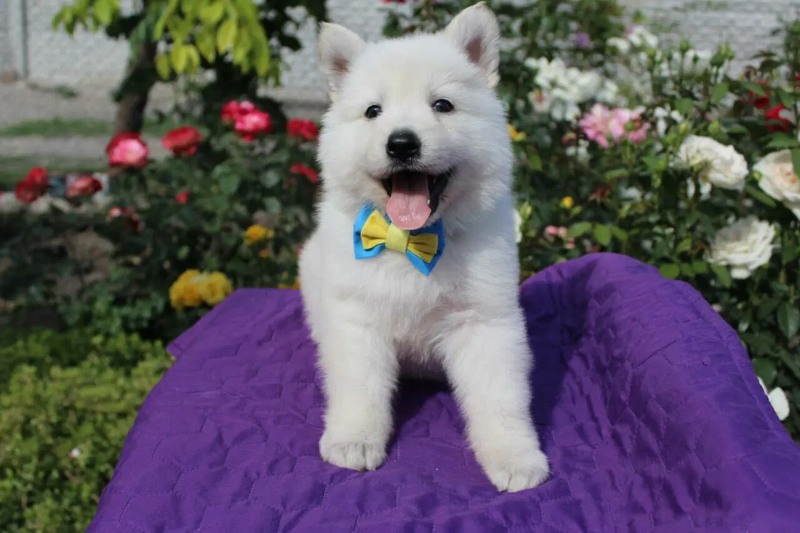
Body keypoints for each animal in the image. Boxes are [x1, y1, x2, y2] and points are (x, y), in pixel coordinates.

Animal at [300, 3, 552, 490]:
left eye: (442, 105)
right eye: (373, 111)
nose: (402, 143)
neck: (411, 241)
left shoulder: (485, 321)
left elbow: (501, 398)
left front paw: (515, 457)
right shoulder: (357, 319)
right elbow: (359, 388)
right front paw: (353, 439)